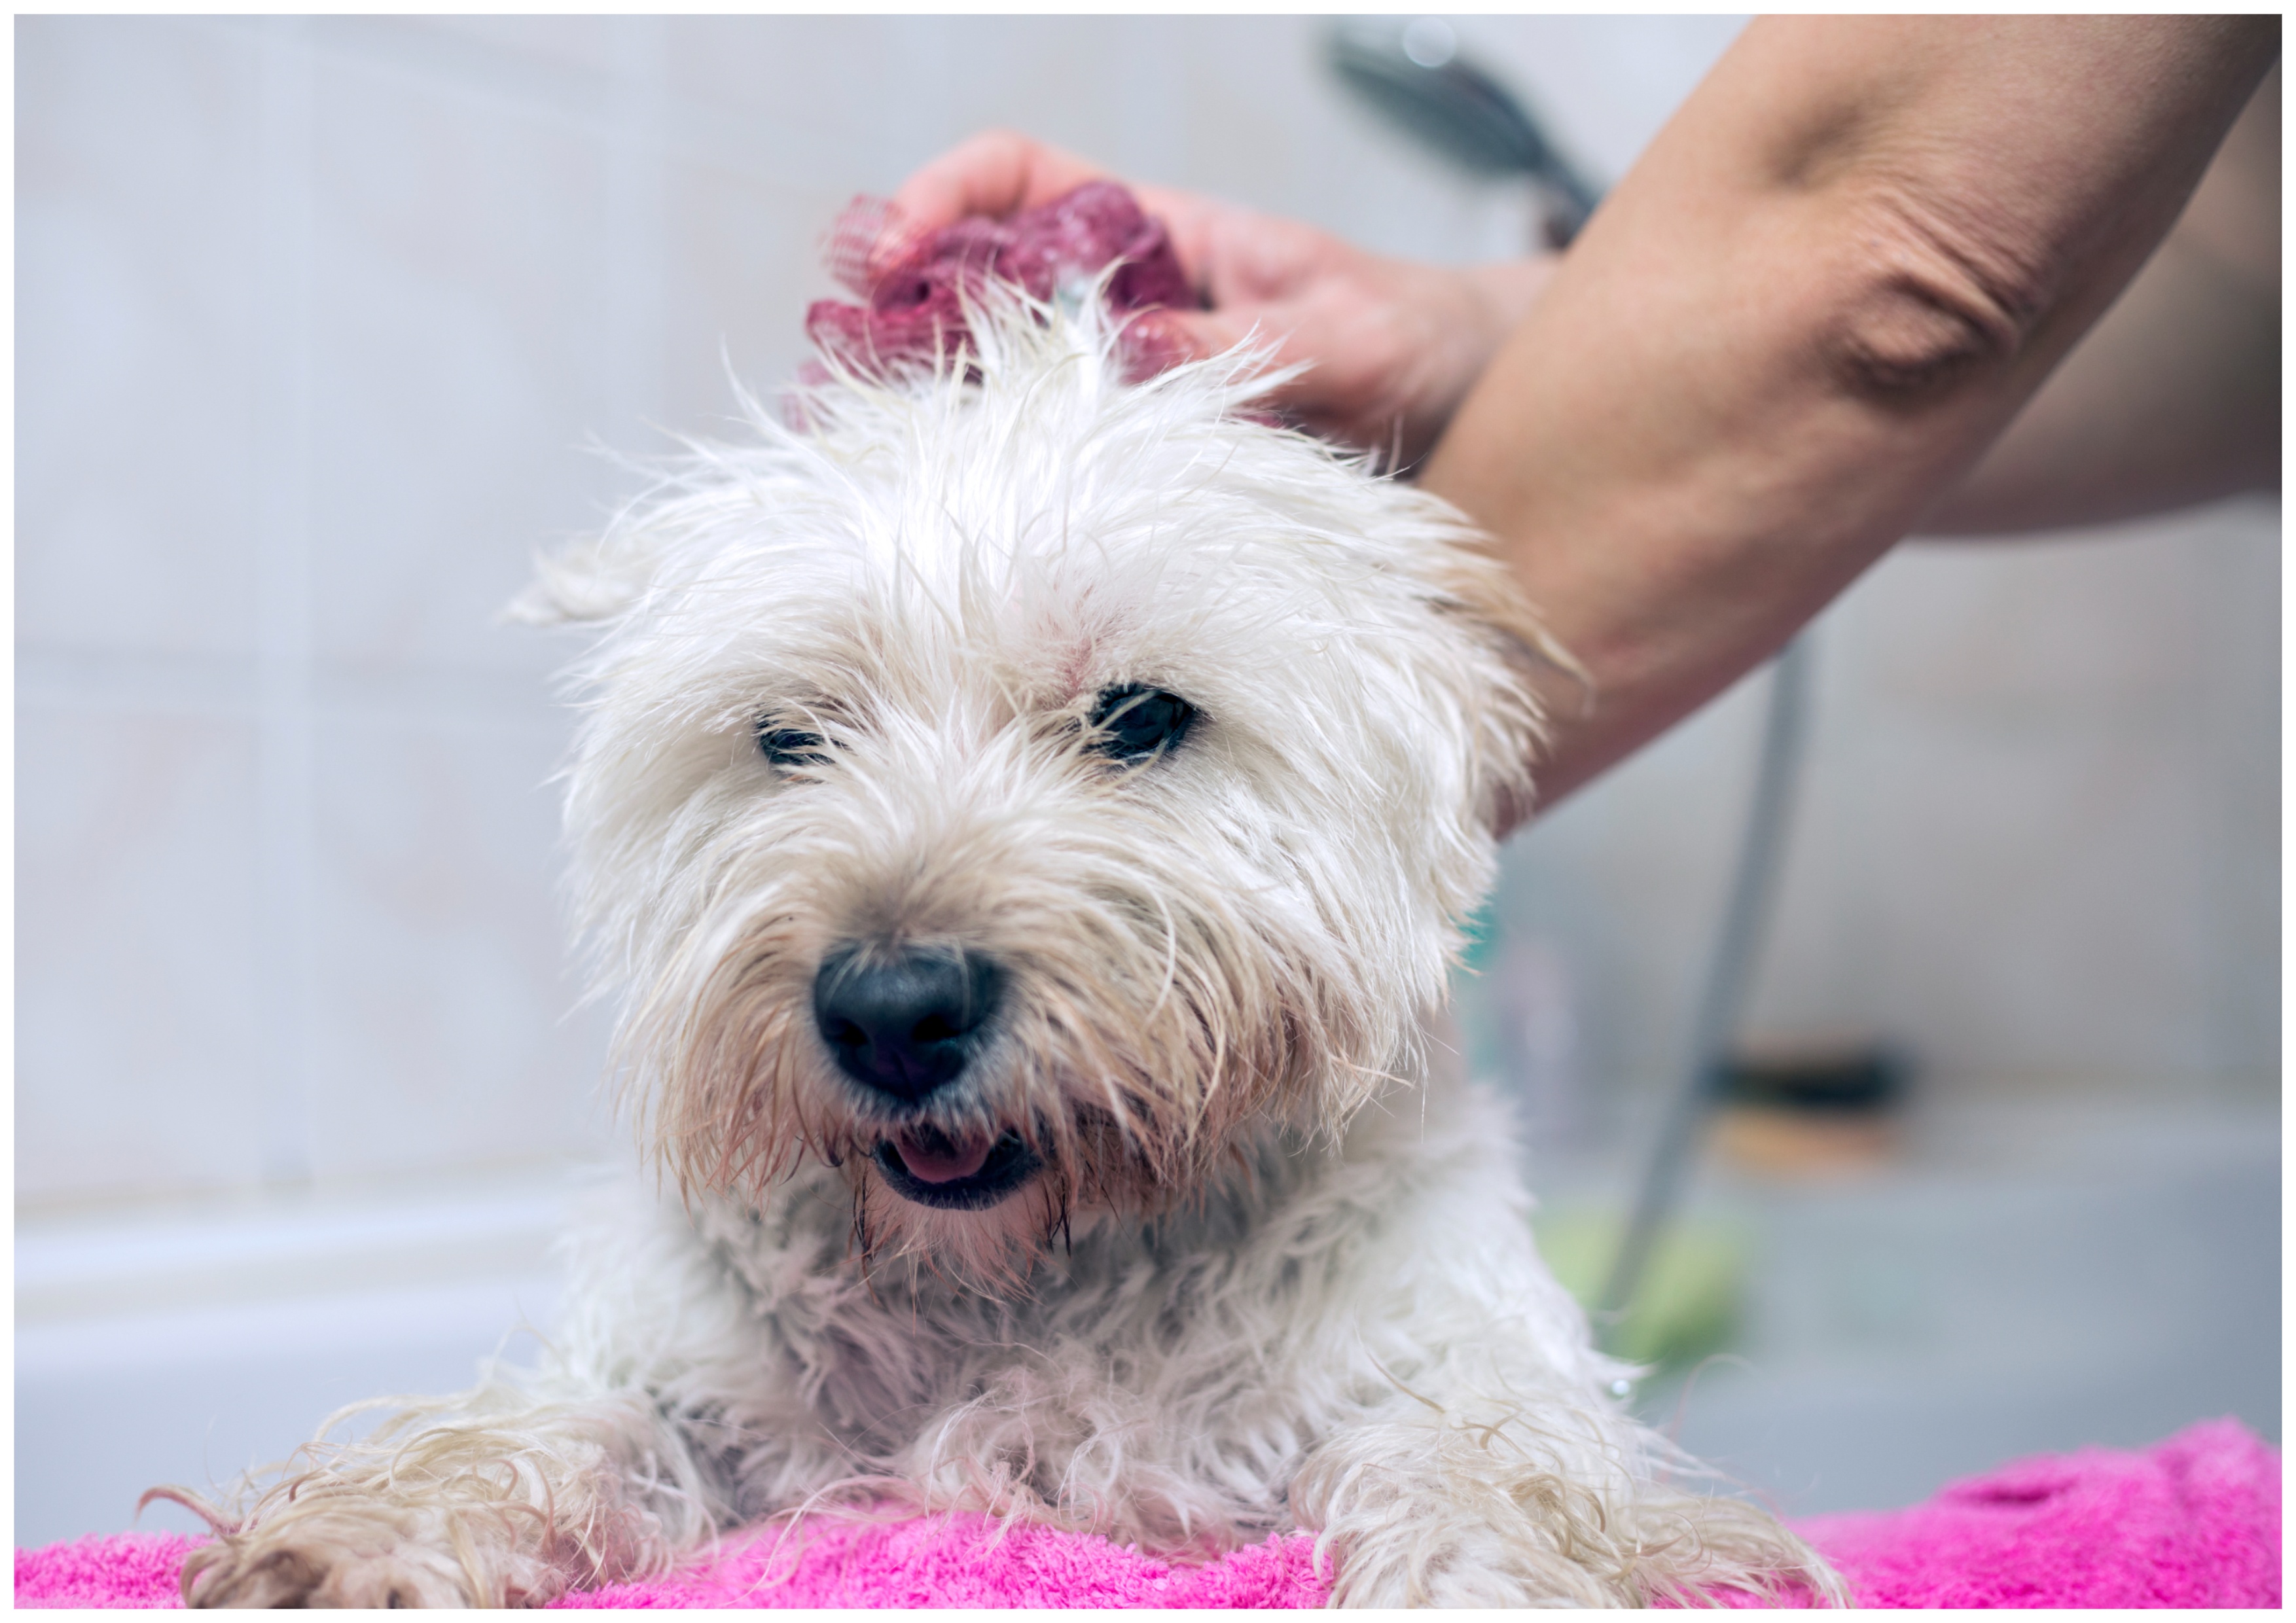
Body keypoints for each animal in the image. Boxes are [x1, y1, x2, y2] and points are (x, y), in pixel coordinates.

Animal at [166, 285, 1846, 1607]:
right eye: (789, 736)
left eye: (1141, 717)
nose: (890, 1009)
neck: (1034, 1269)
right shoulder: (698, 1396)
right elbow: (556, 1429)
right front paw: (351, 1540)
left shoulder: (1437, 1358)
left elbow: (1492, 1461)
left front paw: (1502, 1574)